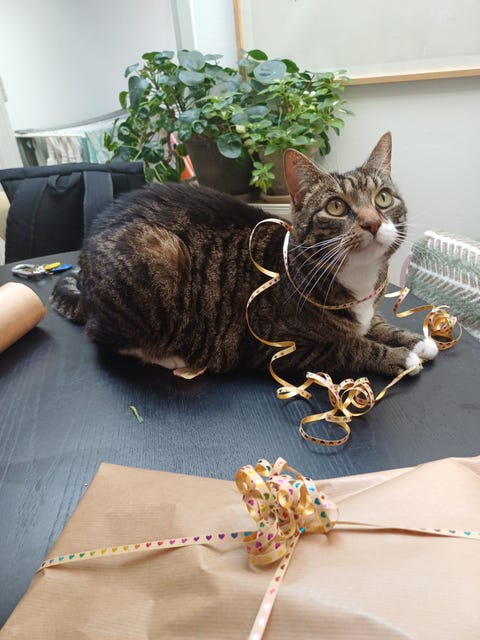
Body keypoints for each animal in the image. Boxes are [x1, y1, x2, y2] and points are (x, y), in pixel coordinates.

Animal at [51, 132, 438, 379]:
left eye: (383, 198)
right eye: (336, 207)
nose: (372, 222)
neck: (357, 279)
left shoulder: (367, 312)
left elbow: (379, 325)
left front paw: (417, 341)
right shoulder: (282, 348)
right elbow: (350, 347)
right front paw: (399, 357)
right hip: (154, 256)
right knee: (102, 338)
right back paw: (166, 355)